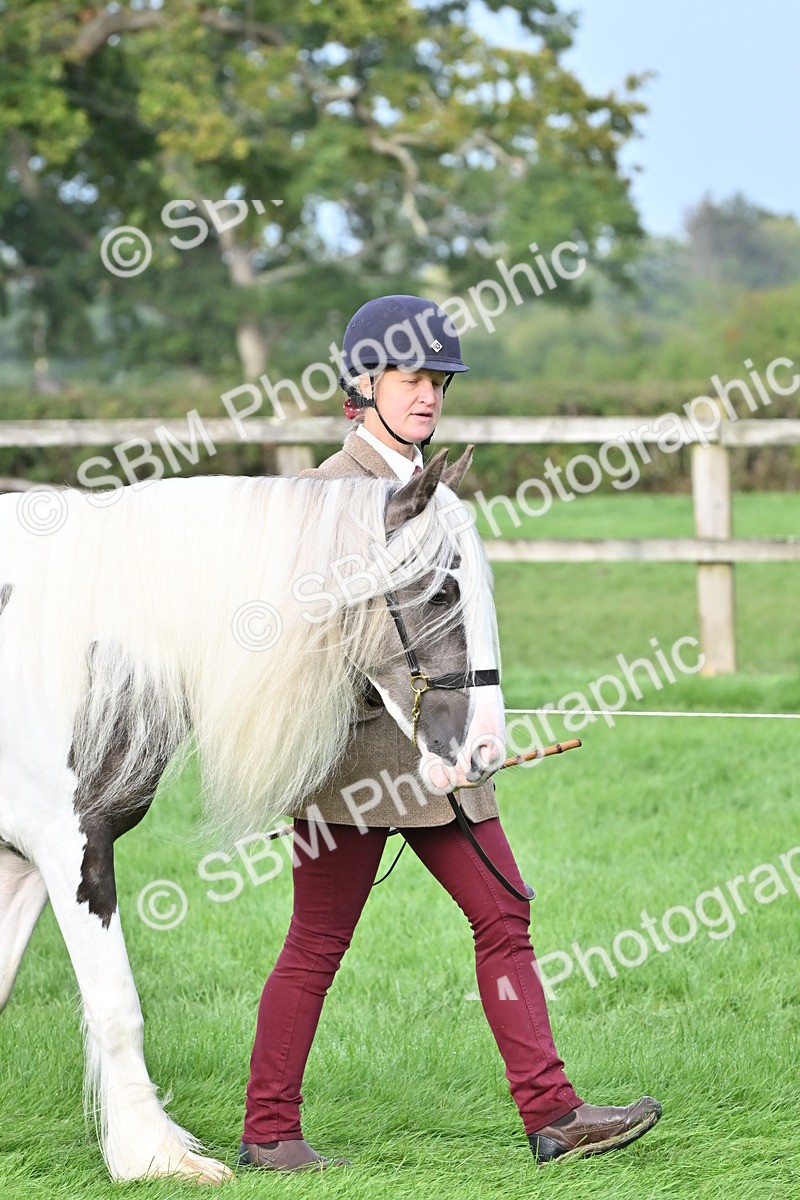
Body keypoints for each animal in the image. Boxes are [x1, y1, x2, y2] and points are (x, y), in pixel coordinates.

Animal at [0, 447, 504, 1182]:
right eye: (441, 592)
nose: (486, 749)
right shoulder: (71, 844)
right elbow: (116, 1003)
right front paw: (153, 1154)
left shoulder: (21, 863)